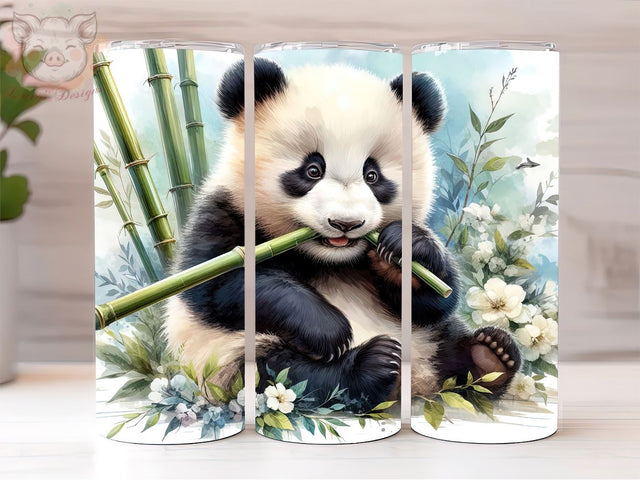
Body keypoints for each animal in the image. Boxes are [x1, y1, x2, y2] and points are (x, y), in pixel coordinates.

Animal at [164, 58, 521, 412]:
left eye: (372, 175)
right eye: (312, 170)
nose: (345, 223)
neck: (333, 260)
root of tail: (417, 381)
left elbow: (434, 300)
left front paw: (406, 247)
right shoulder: (223, 213)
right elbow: (221, 284)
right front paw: (328, 329)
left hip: (427, 337)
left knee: (448, 341)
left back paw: (490, 356)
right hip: (225, 359)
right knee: (284, 374)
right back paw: (370, 366)